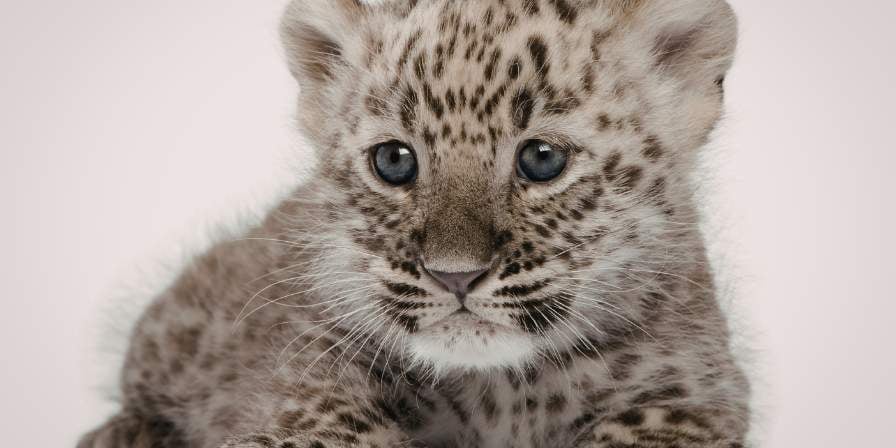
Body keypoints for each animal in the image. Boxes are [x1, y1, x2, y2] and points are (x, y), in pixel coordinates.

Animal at [79, 0, 751, 447]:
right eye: (394, 161)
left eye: (542, 159)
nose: (455, 277)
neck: (501, 392)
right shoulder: (301, 371)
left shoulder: (697, 390)